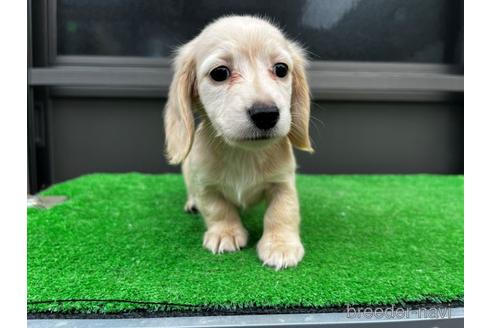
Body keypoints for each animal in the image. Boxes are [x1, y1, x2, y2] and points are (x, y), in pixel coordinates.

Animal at [164, 15, 312, 270]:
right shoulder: (205, 185)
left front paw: (280, 245)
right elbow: (217, 209)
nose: (266, 114)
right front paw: (225, 233)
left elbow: (282, 211)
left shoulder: (283, 182)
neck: (244, 154)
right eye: (220, 73)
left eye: (281, 69)